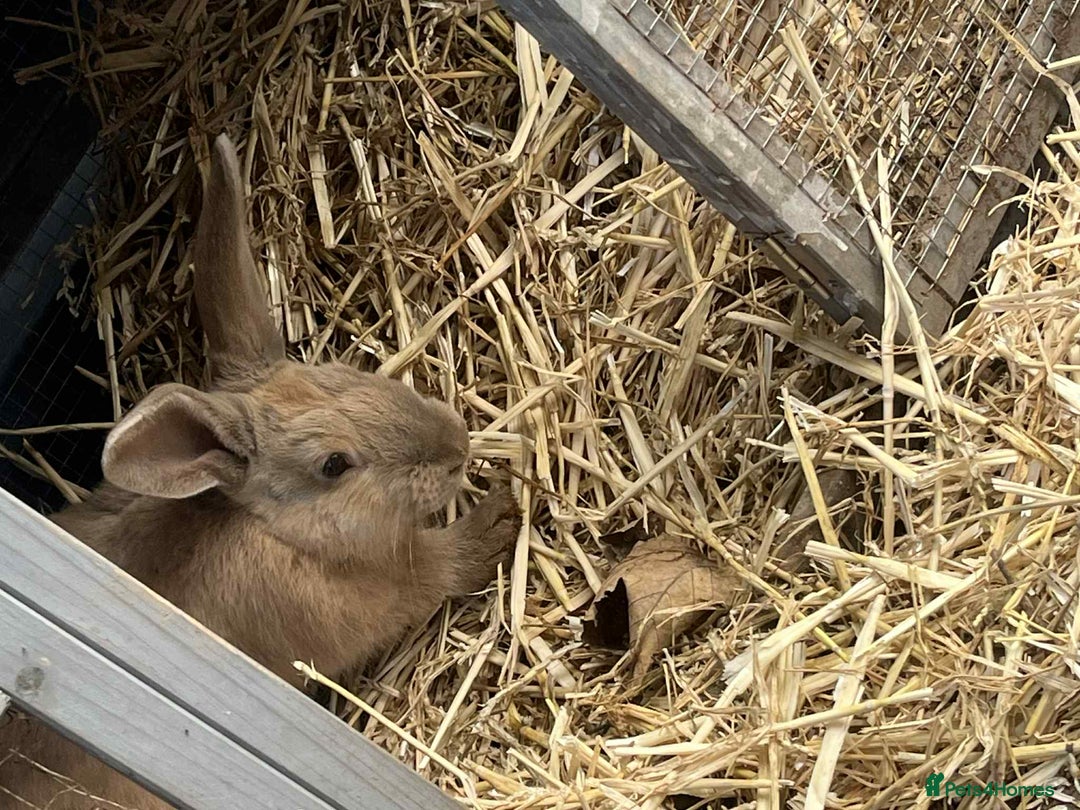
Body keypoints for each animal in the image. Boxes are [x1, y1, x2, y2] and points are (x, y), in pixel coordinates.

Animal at [0, 133, 521, 810]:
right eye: (333, 464)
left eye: (337, 371)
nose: (456, 443)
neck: (270, 529)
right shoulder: (365, 597)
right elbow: (434, 570)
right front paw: (498, 519)